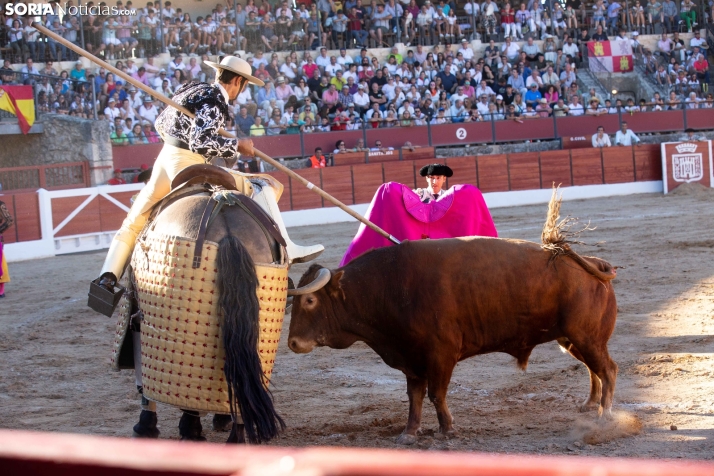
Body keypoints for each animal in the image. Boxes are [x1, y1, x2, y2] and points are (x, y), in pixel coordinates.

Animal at [286, 192, 616, 444]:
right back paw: (590, 405)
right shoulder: (411, 357)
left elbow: (436, 394)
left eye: (311, 300)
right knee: (594, 370)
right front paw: (409, 433)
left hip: (585, 337)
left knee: (607, 370)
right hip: (573, 338)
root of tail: (591, 262)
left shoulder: (441, 354)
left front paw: (448, 429)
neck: (389, 286)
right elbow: (415, 396)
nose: (292, 343)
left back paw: (605, 416)